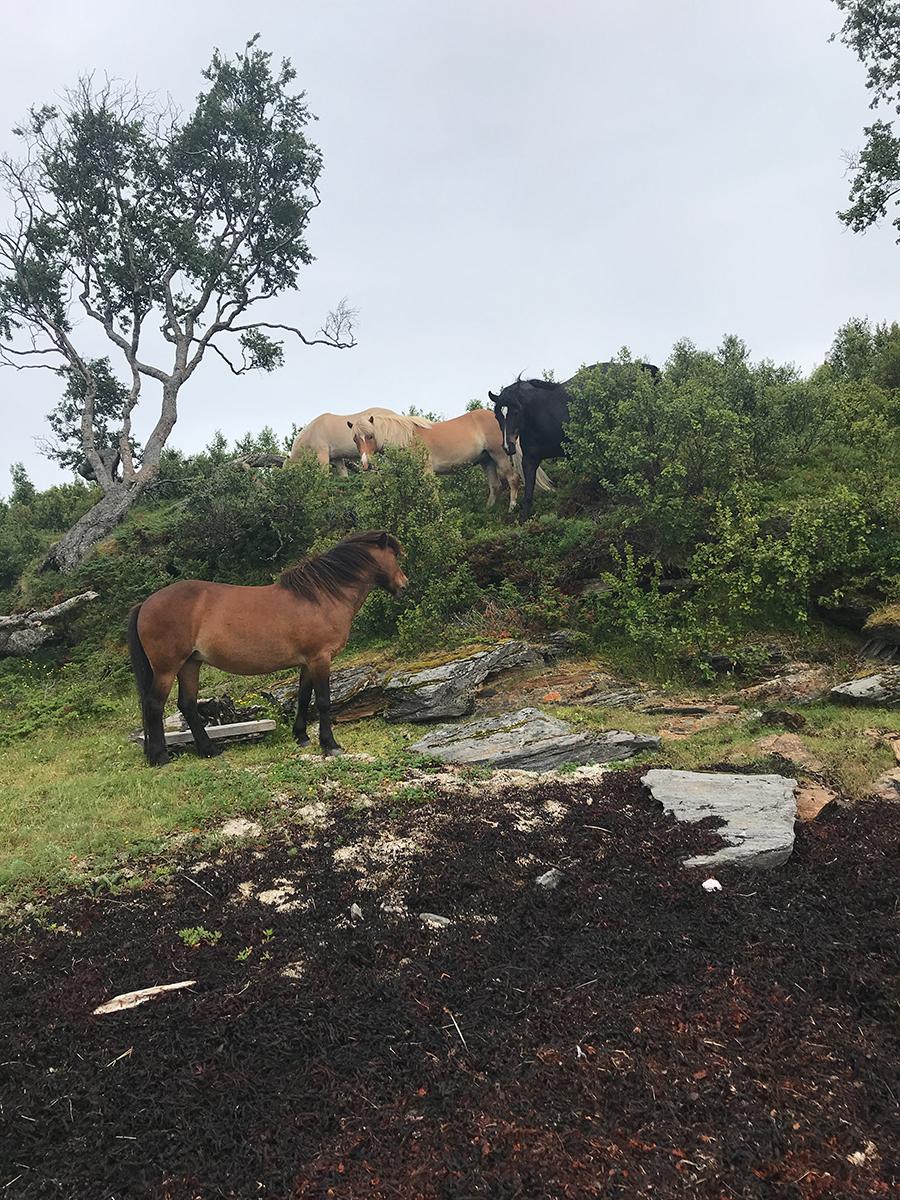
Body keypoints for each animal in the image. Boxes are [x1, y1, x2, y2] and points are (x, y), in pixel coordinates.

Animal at [127, 532, 408, 766]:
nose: (404, 585)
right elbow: (323, 702)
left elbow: (303, 697)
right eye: (393, 556)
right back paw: (160, 757)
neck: (320, 597)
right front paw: (330, 745)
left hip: (190, 664)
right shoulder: (320, 659)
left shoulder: (307, 662)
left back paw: (210, 750)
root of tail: (145, 603)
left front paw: (301, 736)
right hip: (167, 668)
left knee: (187, 705)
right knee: (154, 705)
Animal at [348, 408, 553, 511]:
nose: (366, 464)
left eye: (371, 436)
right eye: (355, 439)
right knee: (495, 486)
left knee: (512, 479)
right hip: (486, 460)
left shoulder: (427, 472)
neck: (408, 439)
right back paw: (487, 511)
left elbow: (432, 496)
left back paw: (511, 508)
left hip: (499, 455)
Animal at [488, 362, 660, 520]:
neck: (540, 413)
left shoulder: (572, 451)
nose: (508, 446)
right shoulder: (530, 459)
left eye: (516, 411)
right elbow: (529, 491)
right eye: (497, 416)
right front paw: (523, 519)